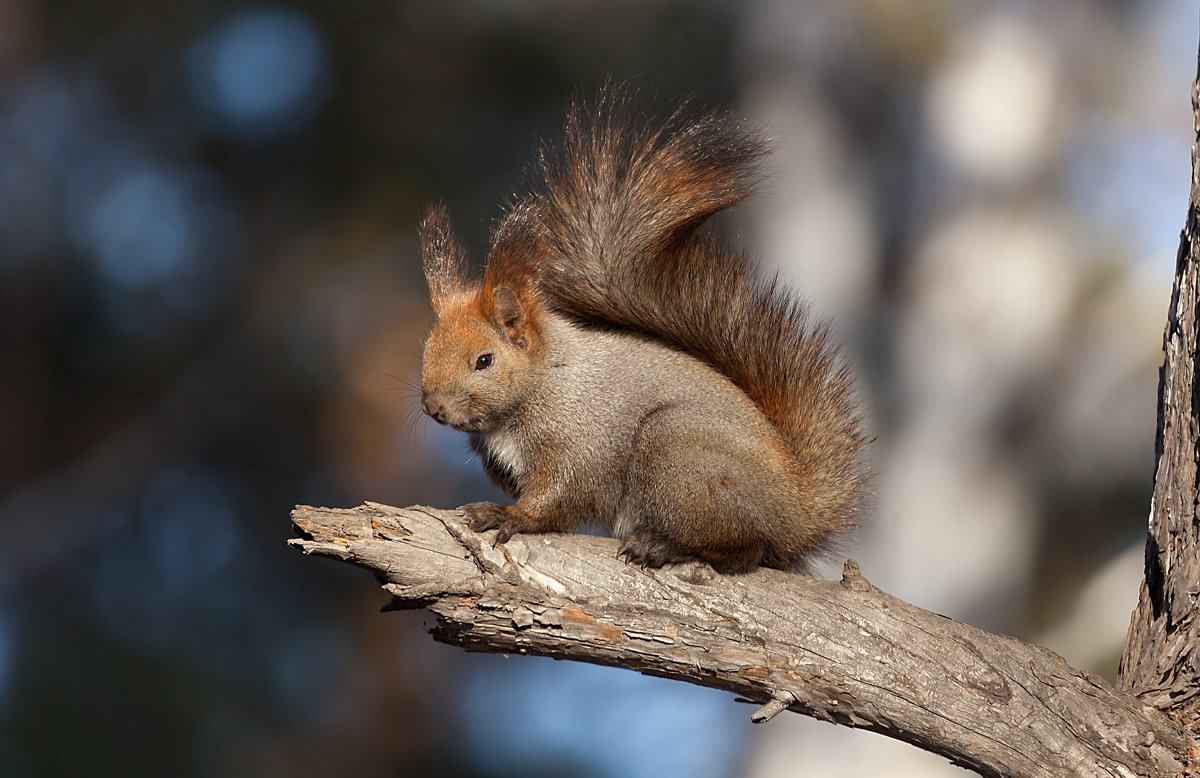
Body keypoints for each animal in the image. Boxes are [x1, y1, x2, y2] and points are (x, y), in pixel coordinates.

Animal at [417, 92, 868, 576]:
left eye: (484, 360)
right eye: (425, 351)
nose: (432, 408)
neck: (544, 380)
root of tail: (799, 512)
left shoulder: (579, 438)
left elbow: (562, 494)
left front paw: (507, 515)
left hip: (678, 451)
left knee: (746, 548)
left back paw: (665, 546)